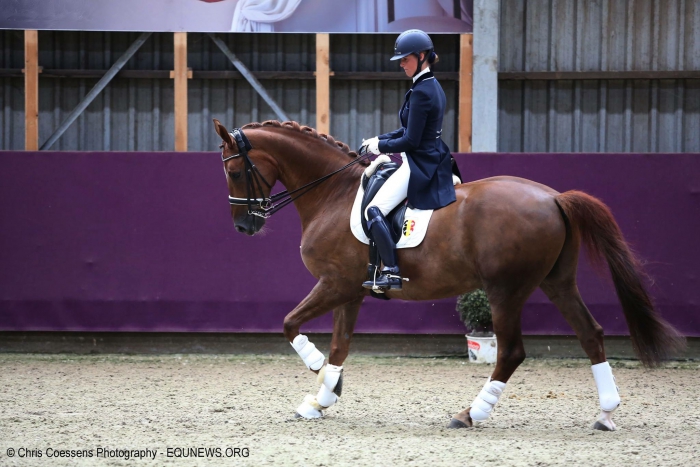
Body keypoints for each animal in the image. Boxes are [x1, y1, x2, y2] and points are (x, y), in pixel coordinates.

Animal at [213, 118, 684, 432]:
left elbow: (290, 324)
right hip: (557, 283)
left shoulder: (334, 284)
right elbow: (340, 345)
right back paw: (605, 413)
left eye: (234, 171)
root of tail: (554, 198)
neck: (332, 193)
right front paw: (324, 396)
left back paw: (470, 413)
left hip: (505, 290)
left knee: (511, 352)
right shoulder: (351, 291)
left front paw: (319, 374)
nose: (243, 226)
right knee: (591, 334)